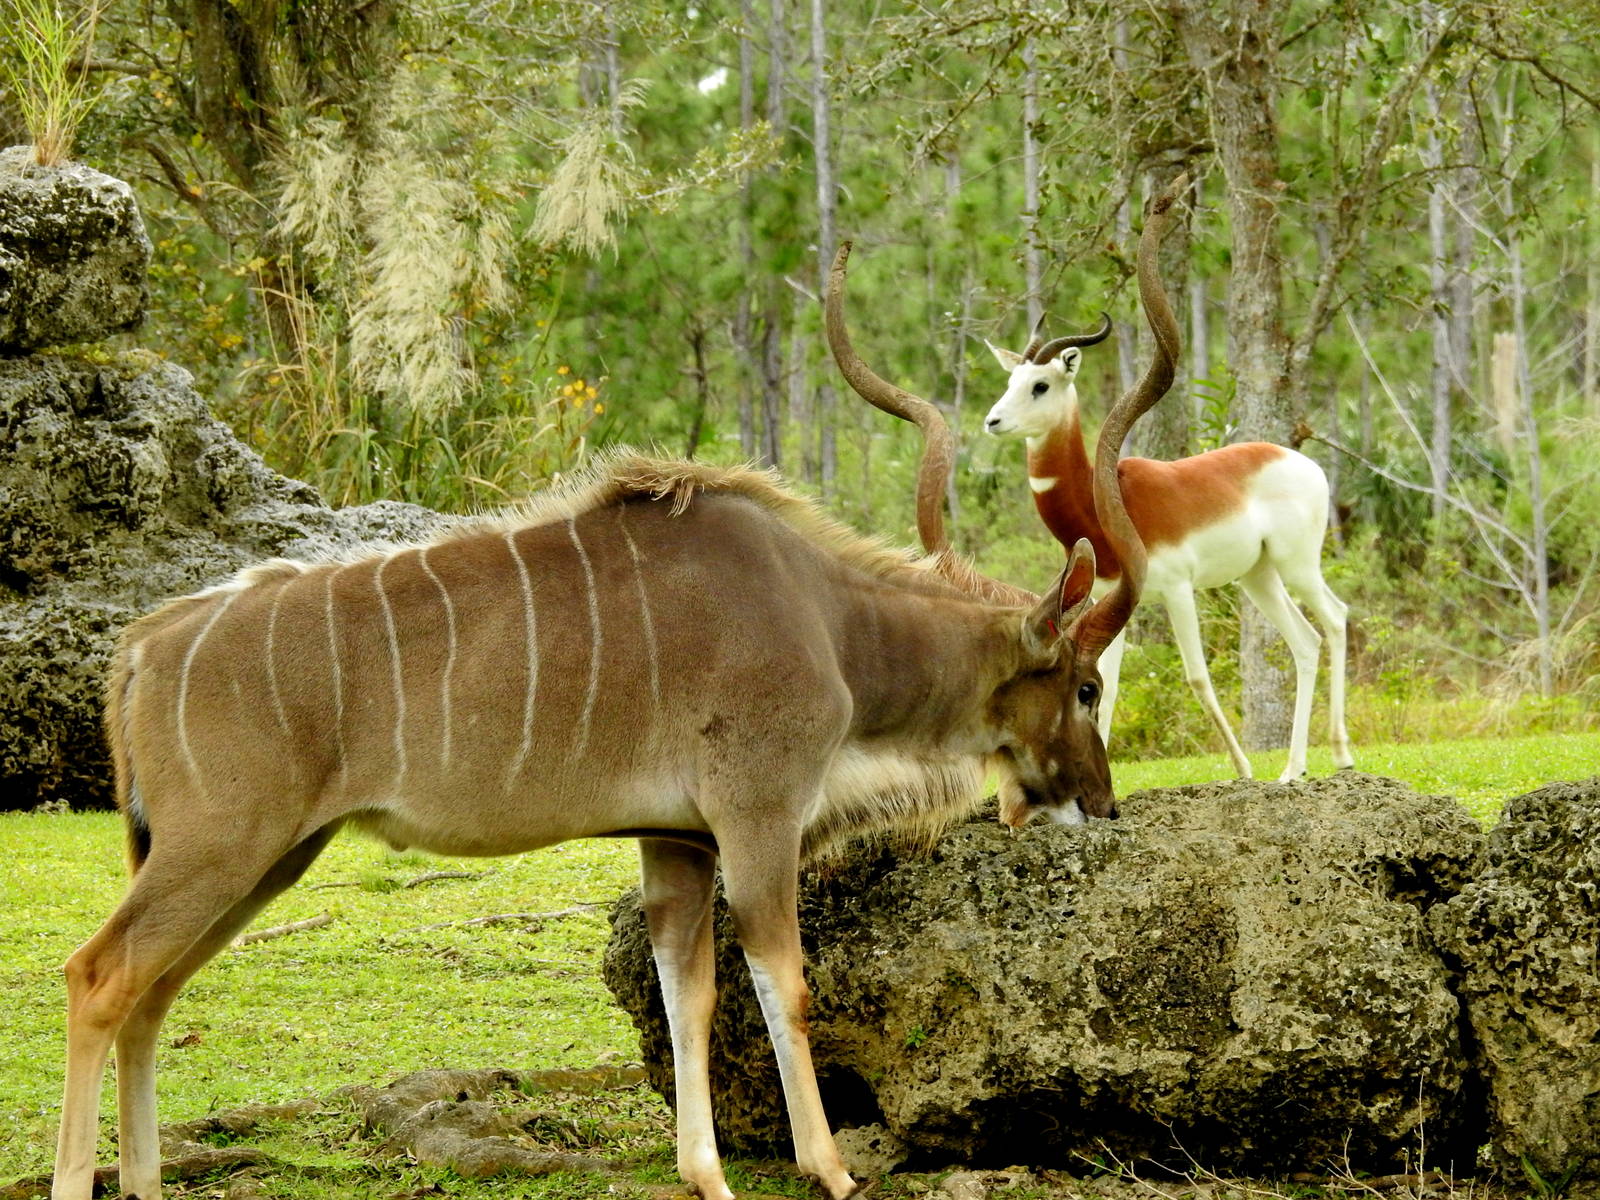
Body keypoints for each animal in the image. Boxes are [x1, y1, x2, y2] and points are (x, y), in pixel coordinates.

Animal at [51, 182, 1184, 1200]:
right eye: (1088, 686)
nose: (1100, 805)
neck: (827, 621)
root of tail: (143, 645)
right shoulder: (756, 818)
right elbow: (785, 986)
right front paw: (829, 1169)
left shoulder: (674, 841)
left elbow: (688, 998)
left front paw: (706, 1175)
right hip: (221, 845)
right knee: (99, 978)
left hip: (267, 857)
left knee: (152, 994)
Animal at [981, 289, 1353, 782]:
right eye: (1010, 380)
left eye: (1040, 385)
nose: (992, 421)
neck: (1104, 501)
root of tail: (1303, 461)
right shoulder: (1109, 598)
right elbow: (1107, 685)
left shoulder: (1178, 589)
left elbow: (1197, 676)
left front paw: (1242, 767)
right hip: (1258, 577)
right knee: (1306, 642)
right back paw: (1294, 769)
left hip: (1298, 565)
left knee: (1336, 617)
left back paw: (1341, 755)